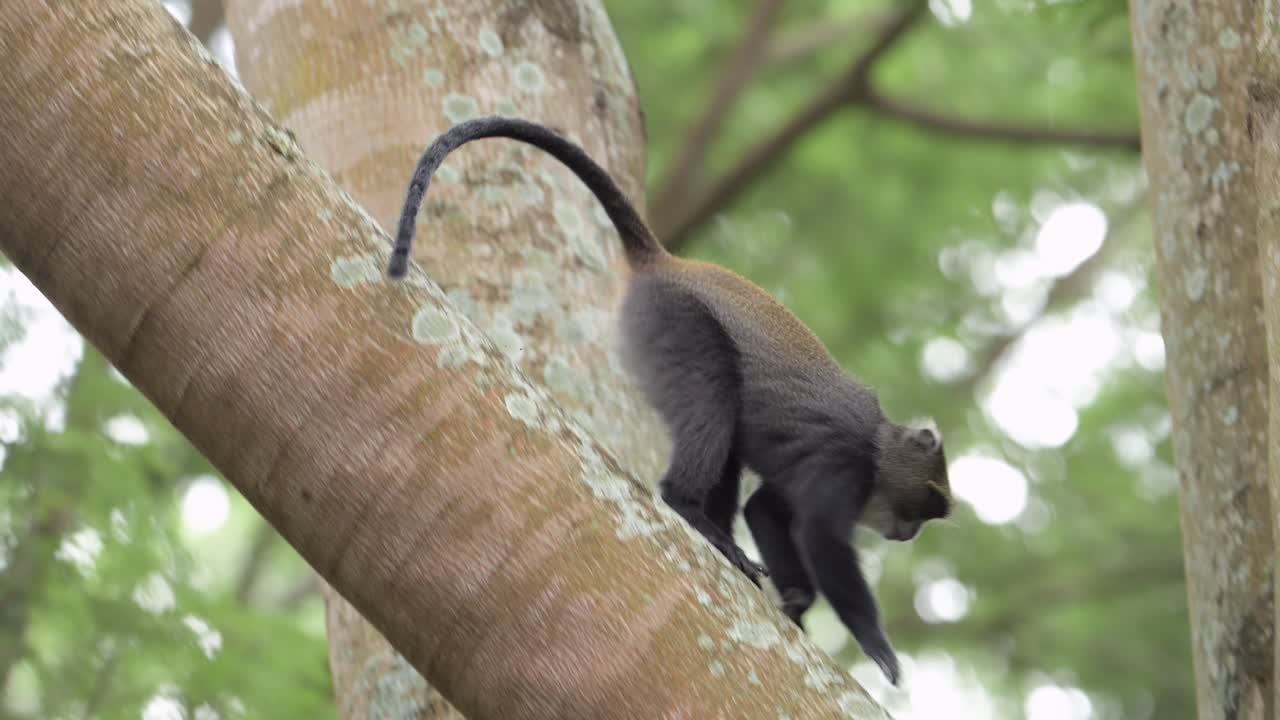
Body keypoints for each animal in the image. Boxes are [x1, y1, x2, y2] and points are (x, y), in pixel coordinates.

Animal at [387, 117, 953, 685]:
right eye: (928, 501)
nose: (910, 533)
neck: (881, 446)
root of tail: (664, 262)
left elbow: (765, 509)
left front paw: (796, 600)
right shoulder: (844, 470)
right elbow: (821, 539)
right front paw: (879, 647)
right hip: (676, 325)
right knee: (714, 406)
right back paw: (689, 508)